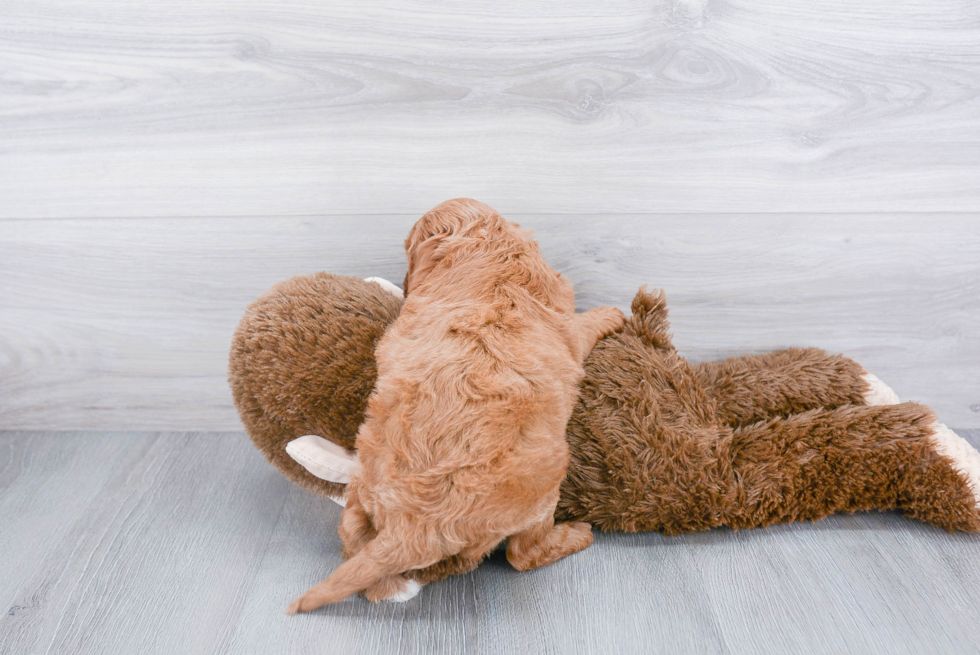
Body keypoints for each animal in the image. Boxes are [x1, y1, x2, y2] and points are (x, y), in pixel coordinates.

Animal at [288, 200, 624, 616]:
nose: (403, 283)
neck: (487, 254)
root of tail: (411, 527)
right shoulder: (568, 329)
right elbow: (583, 324)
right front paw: (612, 314)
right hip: (547, 483)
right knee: (523, 554)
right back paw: (576, 534)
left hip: (362, 483)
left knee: (354, 538)